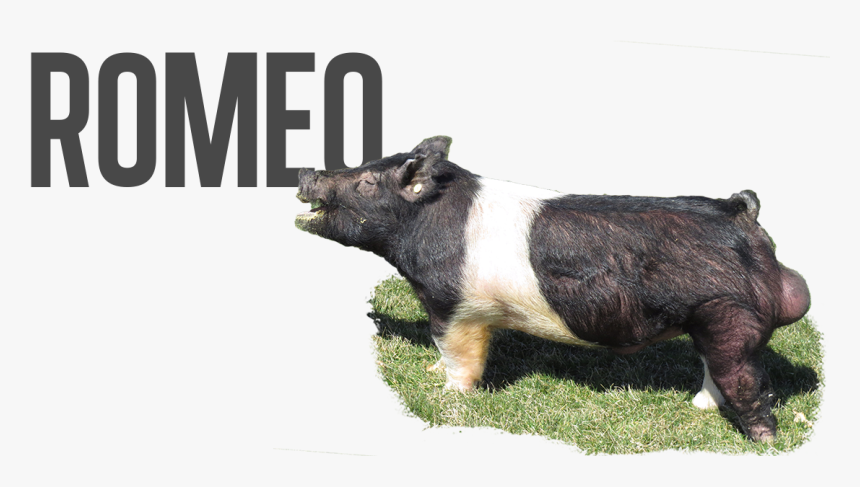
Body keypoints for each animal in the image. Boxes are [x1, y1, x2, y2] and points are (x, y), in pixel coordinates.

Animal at [295, 136, 810, 442]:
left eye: (366, 181)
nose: (306, 172)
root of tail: (741, 214)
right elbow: (444, 351)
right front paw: (429, 370)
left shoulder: (454, 306)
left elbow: (460, 355)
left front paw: (446, 397)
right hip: (708, 319)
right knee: (711, 369)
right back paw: (699, 407)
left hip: (729, 313)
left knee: (745, 379)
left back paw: (764, 443)